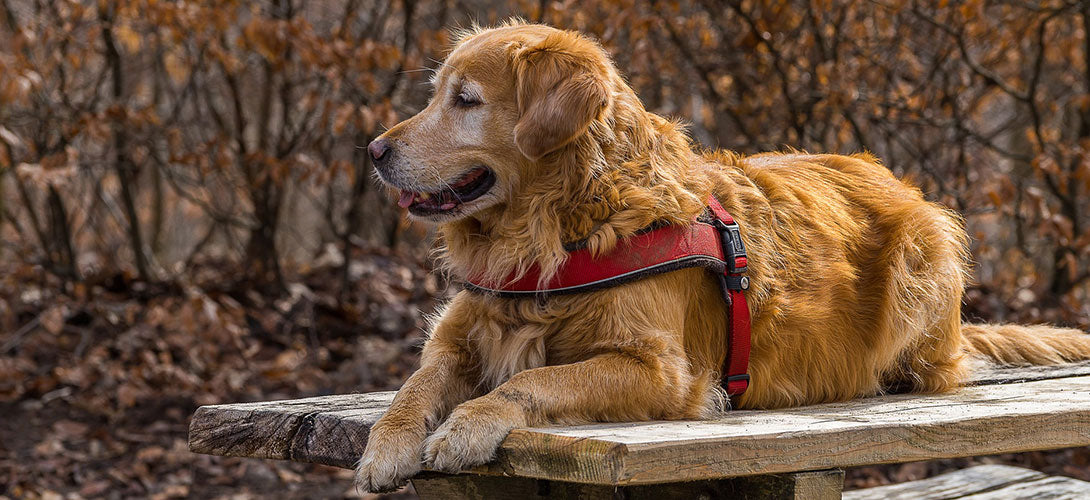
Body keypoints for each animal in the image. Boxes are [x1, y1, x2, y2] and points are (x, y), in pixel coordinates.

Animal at [355, 21, 1090, 492]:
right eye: (436, 93)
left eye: (466, 101)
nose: (375, 150)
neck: (558, 232)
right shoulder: (460, 336)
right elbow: (415, 385)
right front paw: (385, 446)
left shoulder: (663, 373)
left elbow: (532, 381)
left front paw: (467, 426)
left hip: (925, 252)